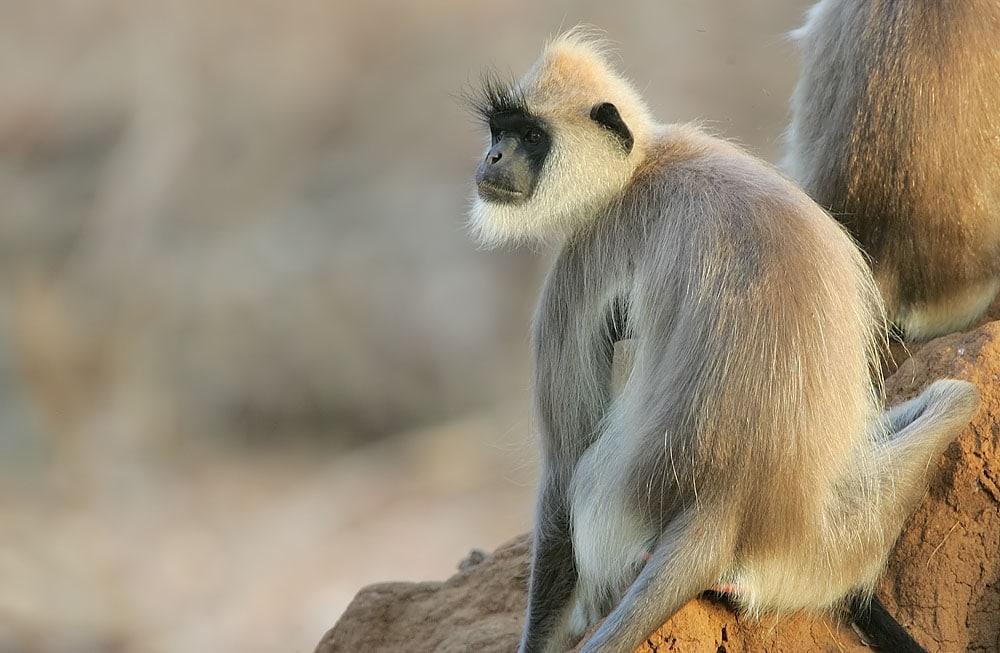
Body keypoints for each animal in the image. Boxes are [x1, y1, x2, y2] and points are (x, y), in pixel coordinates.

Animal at [466, 30, 980, 653]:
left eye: (531, 137)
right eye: (500, 132)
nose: (493, 159)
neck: (641, 166)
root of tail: (722, 504)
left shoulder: (587, 253)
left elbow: (562, 467)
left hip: (612, 511)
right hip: (835, 540)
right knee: (956, 398)